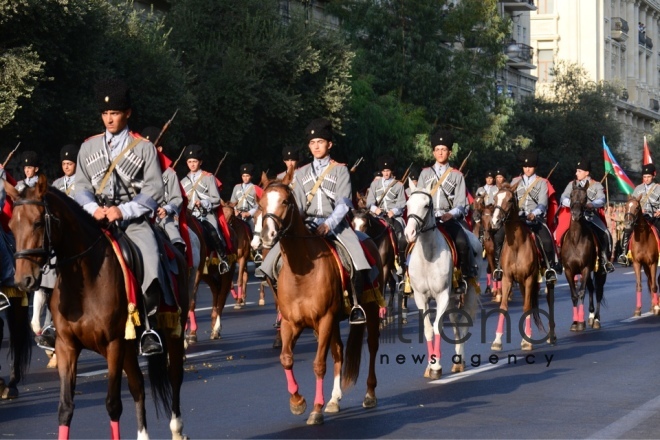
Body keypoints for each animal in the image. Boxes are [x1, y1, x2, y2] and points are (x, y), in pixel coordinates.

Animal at [10, 175, 191, 440]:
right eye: (11, 226)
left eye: (37, 223)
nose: (23, 280)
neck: (85, 280)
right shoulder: (67, 346)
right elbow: (65, 408)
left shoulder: (113, 345)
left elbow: (113, 404)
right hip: (129, 346)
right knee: (138, 386)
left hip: (173, 332)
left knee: (175, 376)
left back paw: (177, 429)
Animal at [260, 170, 382, 424]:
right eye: (261, 202)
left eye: (284, 201)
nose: (267, 235)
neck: (302, 270)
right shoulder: (292, 323)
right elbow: (286, 358)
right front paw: (297, 401)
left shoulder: (324, 320)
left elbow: (318, 364)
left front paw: (316, 409)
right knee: (338, 351)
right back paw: (334, 399)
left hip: (371, 308)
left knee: (372, 345)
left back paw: (369, 393)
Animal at [404, 182, 476, 382]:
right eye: (408, 205)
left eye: (426, 205)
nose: (409, 233)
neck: (428, 256)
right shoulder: (421, 298)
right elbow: (429, 329)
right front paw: (430, 365)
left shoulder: (442, 295)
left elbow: (437, 326)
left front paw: (436, 367)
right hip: (452, 299)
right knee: (455, 322)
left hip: (467, 293)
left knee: (463, 321)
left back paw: (459, 360)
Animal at [490, 184, 552, 352]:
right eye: (495, 198)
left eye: (510, 199)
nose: (495, 221)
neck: (517, 245)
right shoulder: (507, 278)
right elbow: (504, 306)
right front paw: (497, 340)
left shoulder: (530, 278)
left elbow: (527, 307)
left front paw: (527, 341)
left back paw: (551, 336)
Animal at [560, 182, 604, 330]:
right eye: (571, 195)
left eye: (585, 197)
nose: (576, 214)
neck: (576, 239)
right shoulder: (569, 270)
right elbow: (574, 295)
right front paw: (575, 322)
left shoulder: (585, 269)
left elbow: (581, 292)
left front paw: (580, 321)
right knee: (591, 288)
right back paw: (590, 315)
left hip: (599, 271)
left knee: (598, 291)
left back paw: (596, 319)